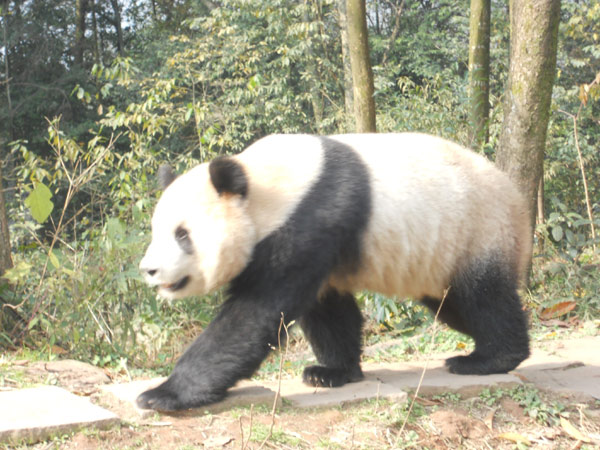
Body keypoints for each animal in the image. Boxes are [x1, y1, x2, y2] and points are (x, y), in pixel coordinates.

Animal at [138, 132, 532, 410]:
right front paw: (331, 373)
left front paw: (163, 394)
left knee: (483, 299)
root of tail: (520, 200)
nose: (149, 270)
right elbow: (327, 311)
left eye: (182, 235)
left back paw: (488, 359)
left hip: (478, 229)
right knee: (454, 308)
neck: (262, 185)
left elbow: (254, 314)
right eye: (157, 230)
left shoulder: (312, 215)